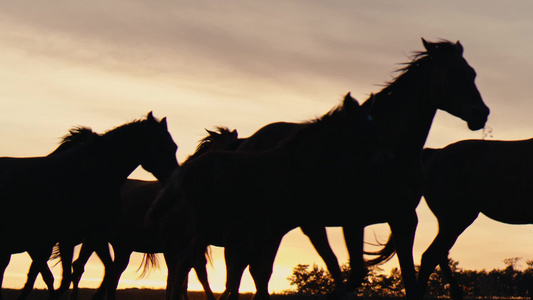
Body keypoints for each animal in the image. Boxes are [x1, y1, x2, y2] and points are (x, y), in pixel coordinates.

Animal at [0, 112, 179, 300]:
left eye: (174, 147)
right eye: (160, 147)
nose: (174, 180)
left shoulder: (95, 235)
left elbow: (107, 271)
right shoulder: (66, 237)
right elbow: (63, 279)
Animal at [68, 127, 241, 300]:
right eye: (231, 147)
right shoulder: (170, 244)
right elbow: (177, 275)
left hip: (122, 246)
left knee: (112, 274)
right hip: (95, 239)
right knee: (80, 267)